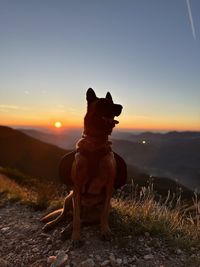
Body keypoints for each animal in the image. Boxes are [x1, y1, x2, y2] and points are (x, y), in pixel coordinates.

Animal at [40, 88, 126, 245]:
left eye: (112, 102)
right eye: (103, 103)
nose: (121, 107)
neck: (96, 143)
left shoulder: (109, 185)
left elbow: (104, 215)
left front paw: (105, 230)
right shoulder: (77, 185)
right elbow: (75, 218)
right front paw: (76, 236)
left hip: (96, 210)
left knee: (84, 220)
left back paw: (67, 229)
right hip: (69, 198)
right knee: (67, 215)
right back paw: (53, 225)